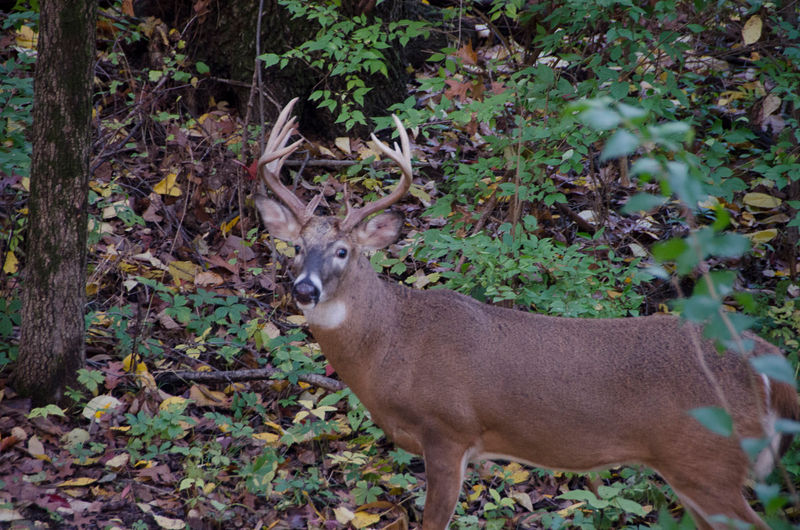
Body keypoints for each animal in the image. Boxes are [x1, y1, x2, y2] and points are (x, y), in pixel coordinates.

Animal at [256, 99, 800, 528]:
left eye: (343, 251)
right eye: (297, 247)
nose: (304, 289)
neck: (391, 346)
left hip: (710, 461)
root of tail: (771, 367)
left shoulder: (448, 431)